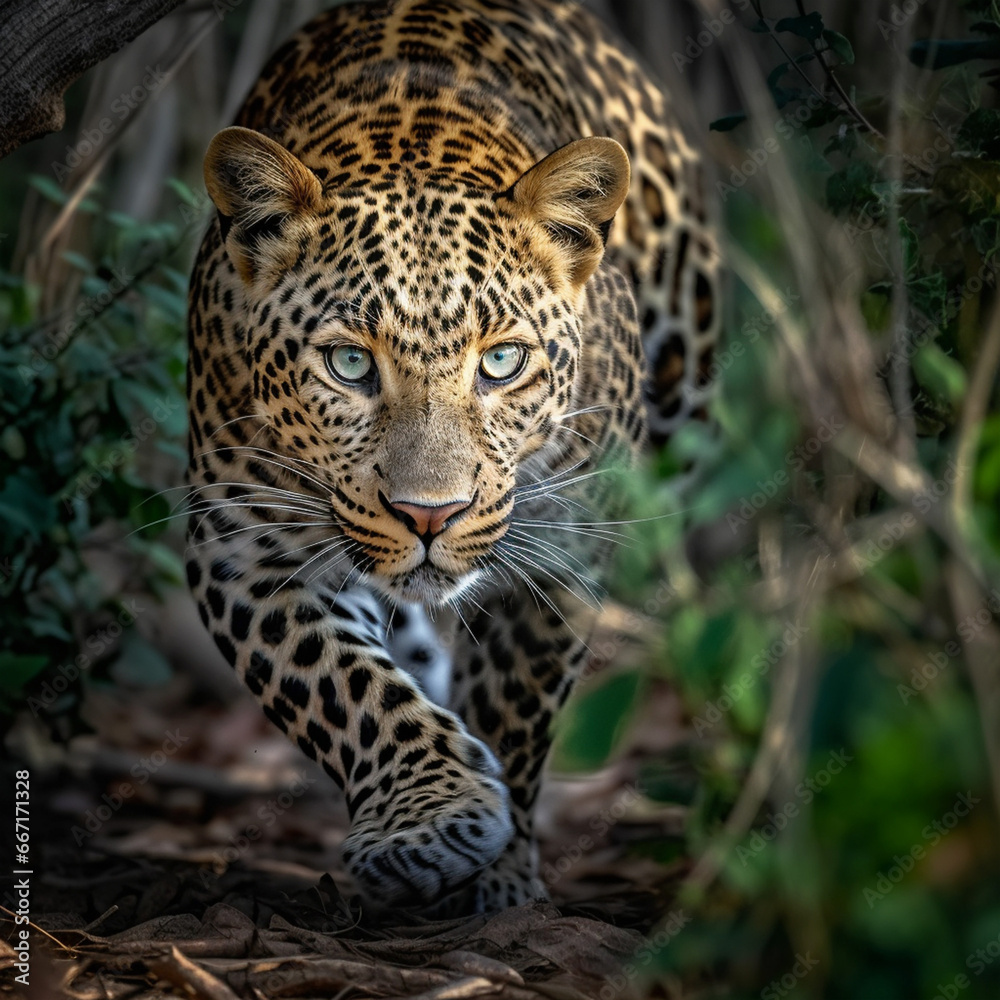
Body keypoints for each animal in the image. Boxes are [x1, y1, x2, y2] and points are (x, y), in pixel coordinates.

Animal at [186, 0, 719, 916]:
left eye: (501, 361)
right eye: (349, 364)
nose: (429, 516)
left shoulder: (557, 560)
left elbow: (517, 710)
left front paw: (501, 882)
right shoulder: (242, 554)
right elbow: (341, 686)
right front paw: (431, 820)